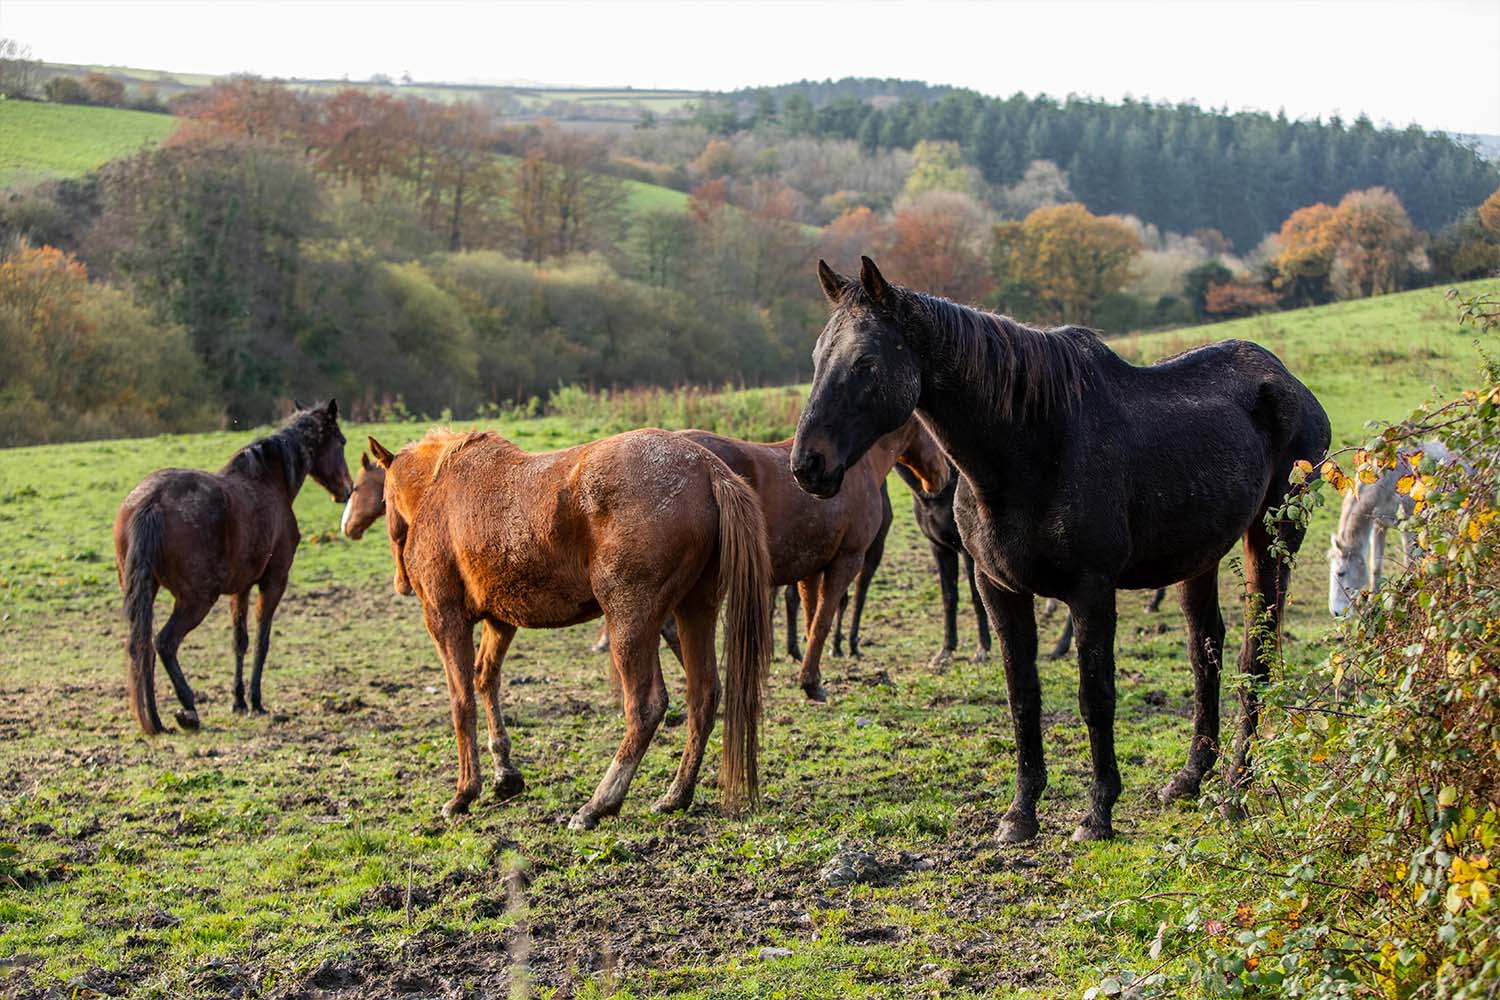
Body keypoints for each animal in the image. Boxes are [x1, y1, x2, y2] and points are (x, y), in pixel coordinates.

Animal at [113, 398, 351, 734]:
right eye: (341, 441)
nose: (347, 489)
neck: (269, 481)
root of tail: (152, 501)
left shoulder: (241, 588)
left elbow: (239, 640)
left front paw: (238, 701)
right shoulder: (273, 581)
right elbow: (262, 639)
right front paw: (255, 701)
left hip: (145, 590)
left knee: (142, 644)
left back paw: (155, 720)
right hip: (197, 599)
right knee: (165, 643)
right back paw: (188, 709)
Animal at [366, 425, 774, 827]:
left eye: (384, 500)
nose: (400, 583)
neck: (440, 488)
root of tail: (708, 469)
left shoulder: (446, 619)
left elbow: (461, 700)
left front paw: (464, 792)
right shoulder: (501, 621)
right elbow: (486, 680)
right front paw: (504, 774)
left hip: (630, 621)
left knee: (646, 706)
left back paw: (599, 803)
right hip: (694, 611)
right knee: (703, 695)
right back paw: (675, 796)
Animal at [792, 257, 1332, 845]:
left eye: (865, 361)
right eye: (818, 357)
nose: (807, 465)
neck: (1031, 448)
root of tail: (1287, 384)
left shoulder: (1091, 592)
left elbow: (1095, 696)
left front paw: (1097, 813)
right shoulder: (998, 588)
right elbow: (1022, 696)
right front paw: (1020, 813)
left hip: (1272, 540)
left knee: (1255, 657)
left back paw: (1235, 793)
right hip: (1199, 559)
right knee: (1203, 652)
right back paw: (1190, 779)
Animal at [1332, 440, 1446, 614]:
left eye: (1341, 573)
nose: (1336, 612)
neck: (1386, 480)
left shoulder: (1408, 528)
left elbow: (1409, 564)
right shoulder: (1379, 525)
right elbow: (1375, 567)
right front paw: (1372, 607)